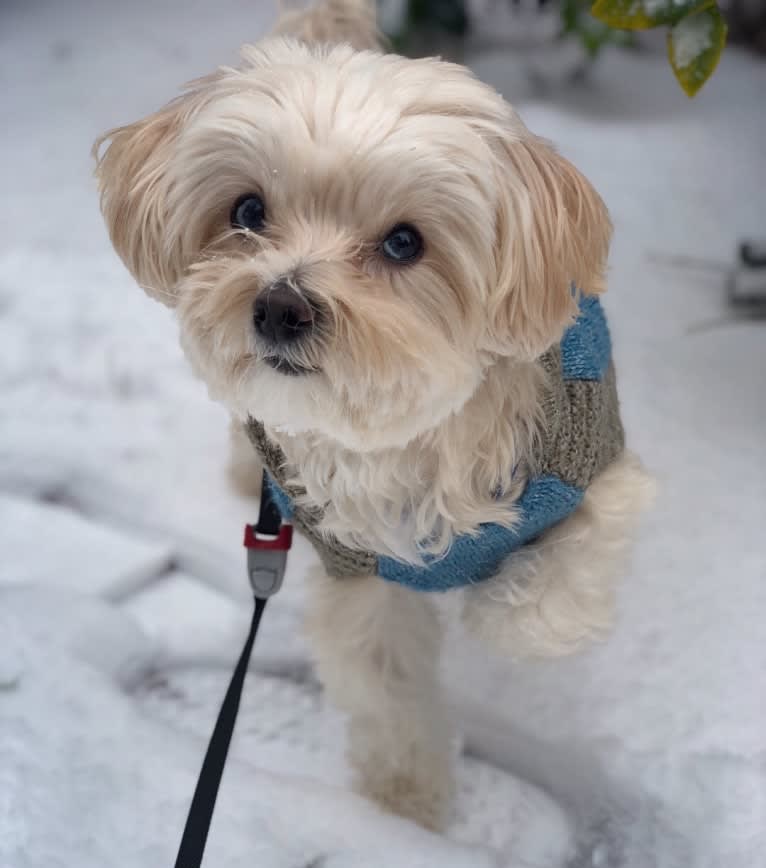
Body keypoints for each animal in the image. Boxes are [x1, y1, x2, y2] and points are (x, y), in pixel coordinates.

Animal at [94, 0, 656, 828]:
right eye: (248, 210)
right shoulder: (359, 569)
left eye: (404, 242)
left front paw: (497, 606)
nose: (280, 306)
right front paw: (407, 797)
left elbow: (549, 599)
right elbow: (385, 683)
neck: (411, 433)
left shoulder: (592, 465)